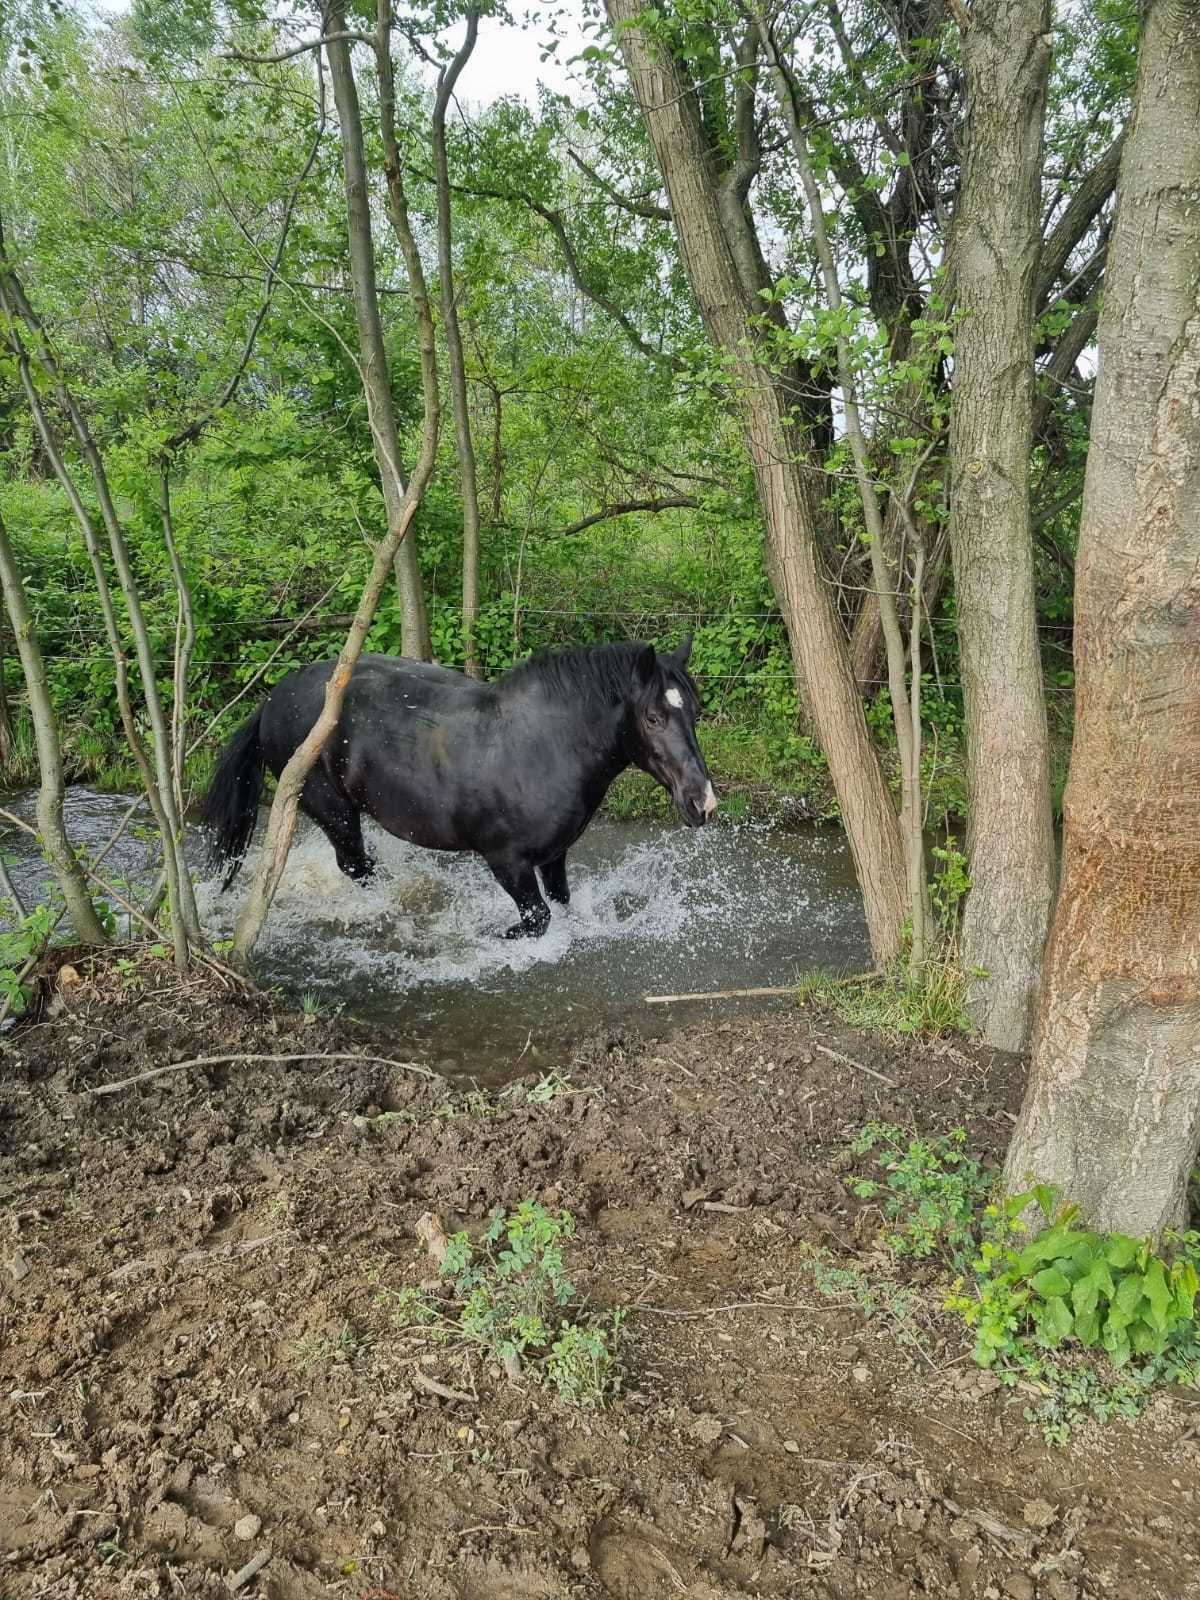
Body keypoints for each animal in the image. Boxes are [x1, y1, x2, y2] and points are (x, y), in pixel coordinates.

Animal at [202, 636, 720, 934]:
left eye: (694, 711)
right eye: (652, 717)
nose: (703, 802)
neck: (543, 746)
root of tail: (274, 699)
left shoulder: (553, 857)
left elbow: (560, 905)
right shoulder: (506, 862)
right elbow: (538, 919)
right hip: (333, 811)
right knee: (356, 868)